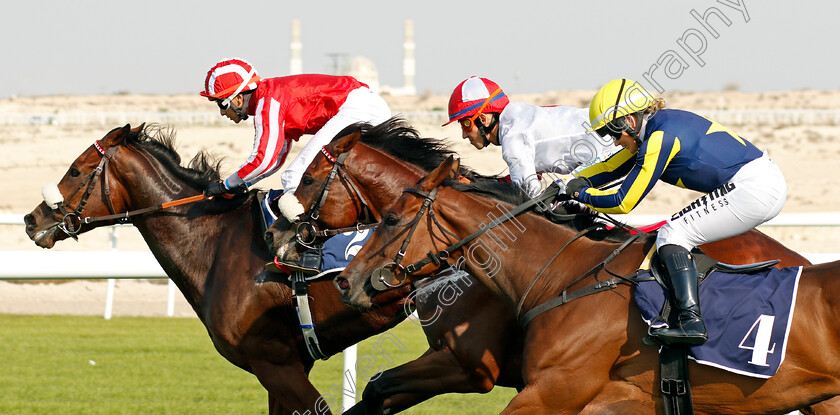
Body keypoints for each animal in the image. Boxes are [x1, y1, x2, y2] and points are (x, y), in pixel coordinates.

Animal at [268, 120, 832, 415]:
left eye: (310, 177)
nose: (278, 237)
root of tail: (802, 261)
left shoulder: (471, 368)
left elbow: (382, 387)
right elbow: (380, 389)